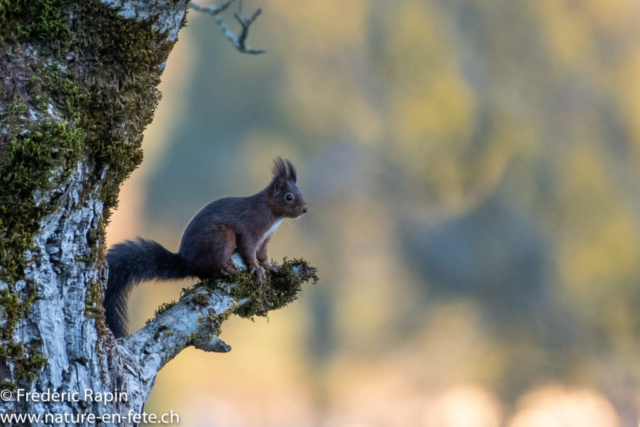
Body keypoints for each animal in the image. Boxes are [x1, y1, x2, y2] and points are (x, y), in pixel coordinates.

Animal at [103, 157, 308, 338]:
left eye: (300, 192)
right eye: (289, 197)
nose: (305, 209)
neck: (272, 213)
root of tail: (186, 262)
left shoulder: (265, 239)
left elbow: (263, 254)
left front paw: (271, 266)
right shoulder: (251, 228)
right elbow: (249, 251)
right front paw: (257, 269)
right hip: (222, 237)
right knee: (206, 270)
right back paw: (224, 270)